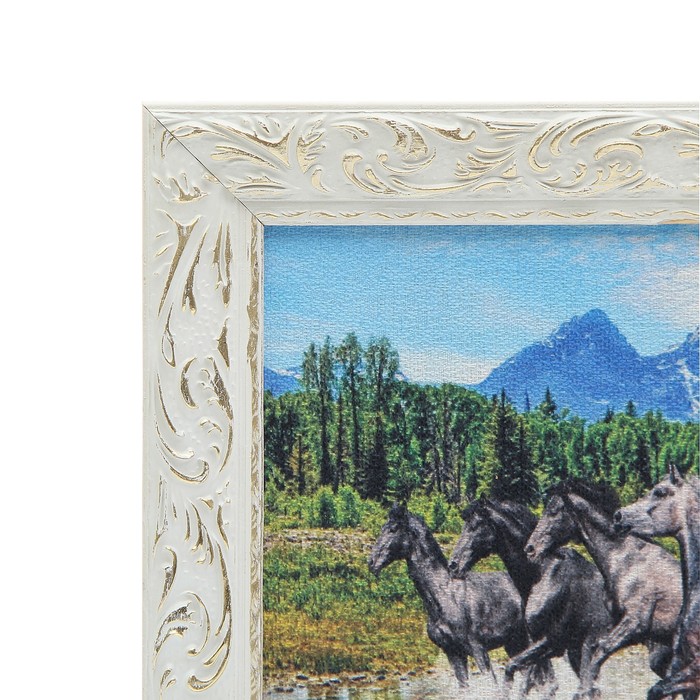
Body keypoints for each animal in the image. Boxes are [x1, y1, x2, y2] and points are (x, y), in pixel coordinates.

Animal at [368, 503, 530, 691]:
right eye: (383, 528)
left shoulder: (479, 650)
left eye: (393, 529)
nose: (371, 562)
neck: (445, 594)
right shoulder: (453, 654)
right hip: (515, 644)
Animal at [449, 498, 611, 699]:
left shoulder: (552, 642)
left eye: (475, 525)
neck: (543, 574)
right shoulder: (538, 643)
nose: (453, 564)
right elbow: (527, 680)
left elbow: (516, 671)